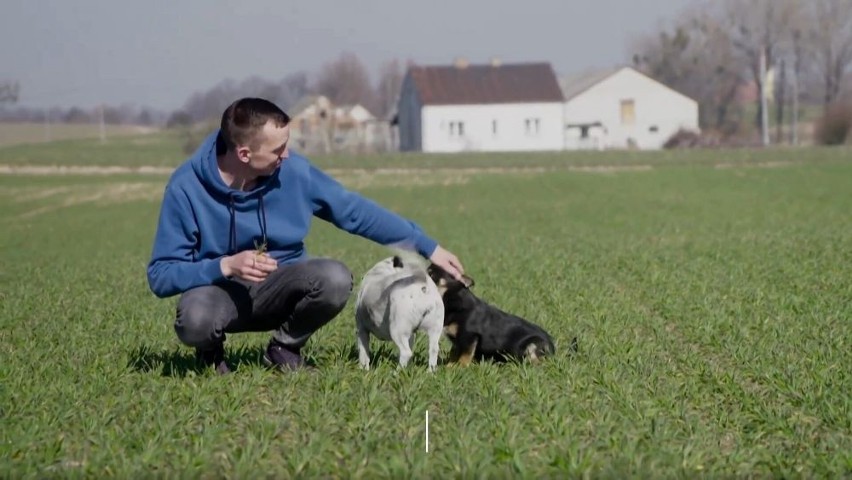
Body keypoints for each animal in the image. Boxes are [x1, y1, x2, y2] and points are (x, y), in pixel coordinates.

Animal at [426, 264, 560, 366]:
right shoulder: (458, 341)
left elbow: (465, 355)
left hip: (533, 345)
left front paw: (460, 367)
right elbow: (454, 355)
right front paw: (449, 366)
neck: (452, 297)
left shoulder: (469, 336)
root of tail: (553, 346)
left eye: (431, 275)